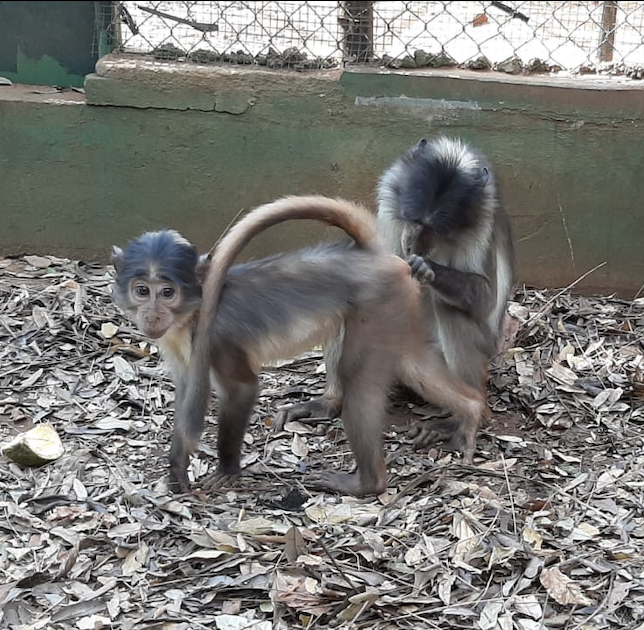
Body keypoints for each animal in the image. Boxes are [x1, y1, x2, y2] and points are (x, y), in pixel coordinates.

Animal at [112, 195, 487, 497]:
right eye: (142, 291)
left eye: (167, 292)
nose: (152, 314)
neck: (191, 313)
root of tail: (369, 255)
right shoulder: (175, 345)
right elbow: (185, 392)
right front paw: (177, 467)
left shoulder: (216, 338)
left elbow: (242, 389)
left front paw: (227, 469)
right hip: (397, 305)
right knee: (411, 361)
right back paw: (470, 409)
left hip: (376, 303)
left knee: (358, 379)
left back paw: (369, 484)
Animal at [275, 137, 516, 462]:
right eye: (413, 220)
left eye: (435, 228)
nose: (414, 243)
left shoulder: (482, 219)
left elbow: (486, 299)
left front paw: (426, 269)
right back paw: (332, 400)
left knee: (448, 309)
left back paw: (462, 416)